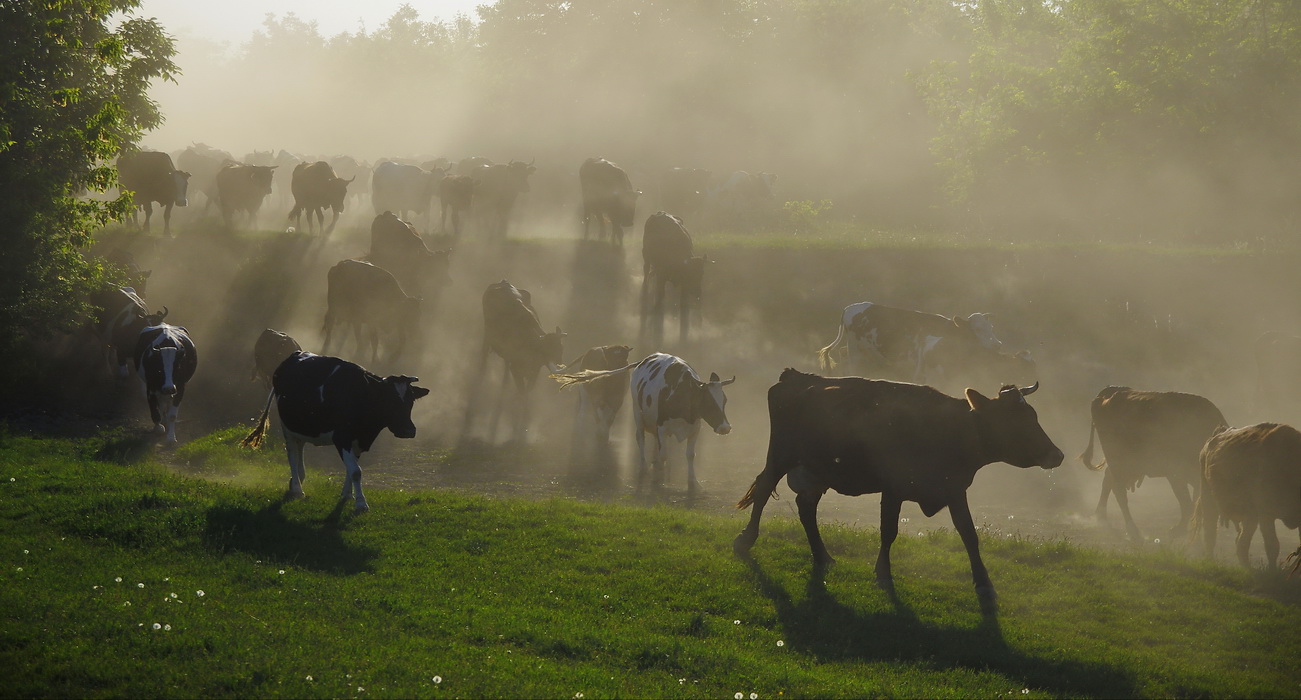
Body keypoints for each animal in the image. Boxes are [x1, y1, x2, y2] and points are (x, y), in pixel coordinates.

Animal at [241, 351, 429, 510]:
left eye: (411, 399)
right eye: (389, 399)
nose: (408, 430)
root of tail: (295, 355)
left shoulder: (358, 440)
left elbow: (352, 469)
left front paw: (347, 495)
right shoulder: (342, 438)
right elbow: (356, 471)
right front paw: (361, 503)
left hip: (301, 425)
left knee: (300, 447)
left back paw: (299, 478)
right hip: (287, 426)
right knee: (292, 453)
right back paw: (297, 489)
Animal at [549, 351, 733, 486]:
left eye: (724, 401)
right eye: (708, 402)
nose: (725, 428)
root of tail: (644, 359)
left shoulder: (695, 429)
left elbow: (690, 455)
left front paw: (693, 480)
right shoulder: (661, 427)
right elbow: (664, 453)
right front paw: (659, 476)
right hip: (637, 412)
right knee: (640, 438)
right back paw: (644, 466)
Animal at [822, 301, 1004, 382]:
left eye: (991, 327)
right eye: (977, 329)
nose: (997, 345)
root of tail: (850, 308)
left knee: (843, 355)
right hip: (855, 350)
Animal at [1077, 387, 1228, 538]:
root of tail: (1110, 393)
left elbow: (1193, 501)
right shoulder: (1175, 475)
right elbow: (1186, 502)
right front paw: (1178, 530)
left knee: (1108, 480)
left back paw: (1101, 517)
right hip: (1118, 463)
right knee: (1119, 491)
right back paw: (1133, 531)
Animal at [1191, 421, 1301, 564]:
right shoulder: (1266, 514)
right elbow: (1272, 546)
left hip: (1250, 515)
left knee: (1241, 543)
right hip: (1208, 499)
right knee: (1210, 533)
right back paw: (1210, 560)